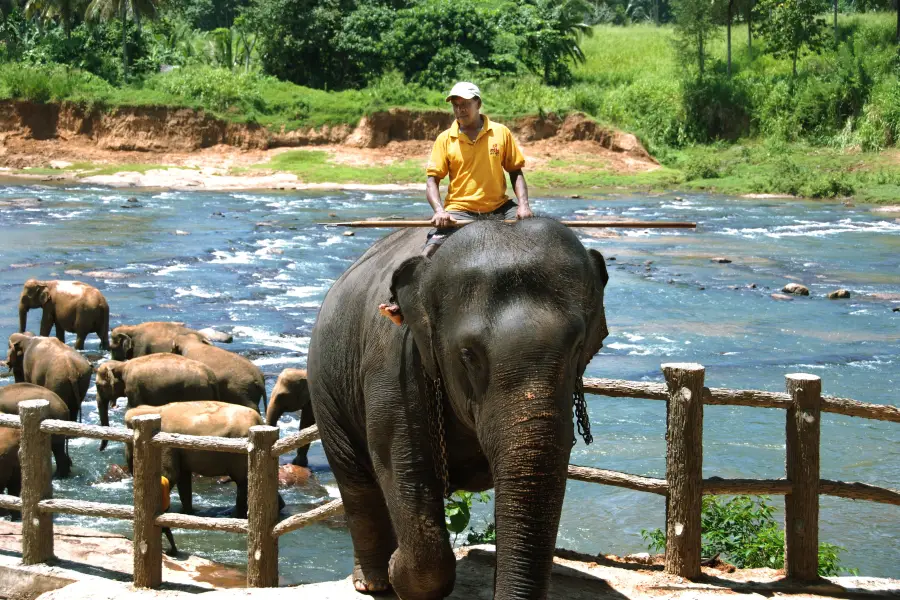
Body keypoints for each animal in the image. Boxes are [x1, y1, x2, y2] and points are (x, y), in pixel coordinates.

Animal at [123, 400, 284, 516]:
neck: (153, 409)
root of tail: (259, 421)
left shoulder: (165, 443)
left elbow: (169, 475)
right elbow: (182, 477)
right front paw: (187, 513)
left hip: (240, 451)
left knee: (243, 481)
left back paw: (235, 515)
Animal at [306, 219, 608, 600]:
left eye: (578, 346)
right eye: (468, 354)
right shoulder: (394, 366)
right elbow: (401, 464)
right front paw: (397, 568)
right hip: (325, 387)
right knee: (355, 478)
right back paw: (373, 582)